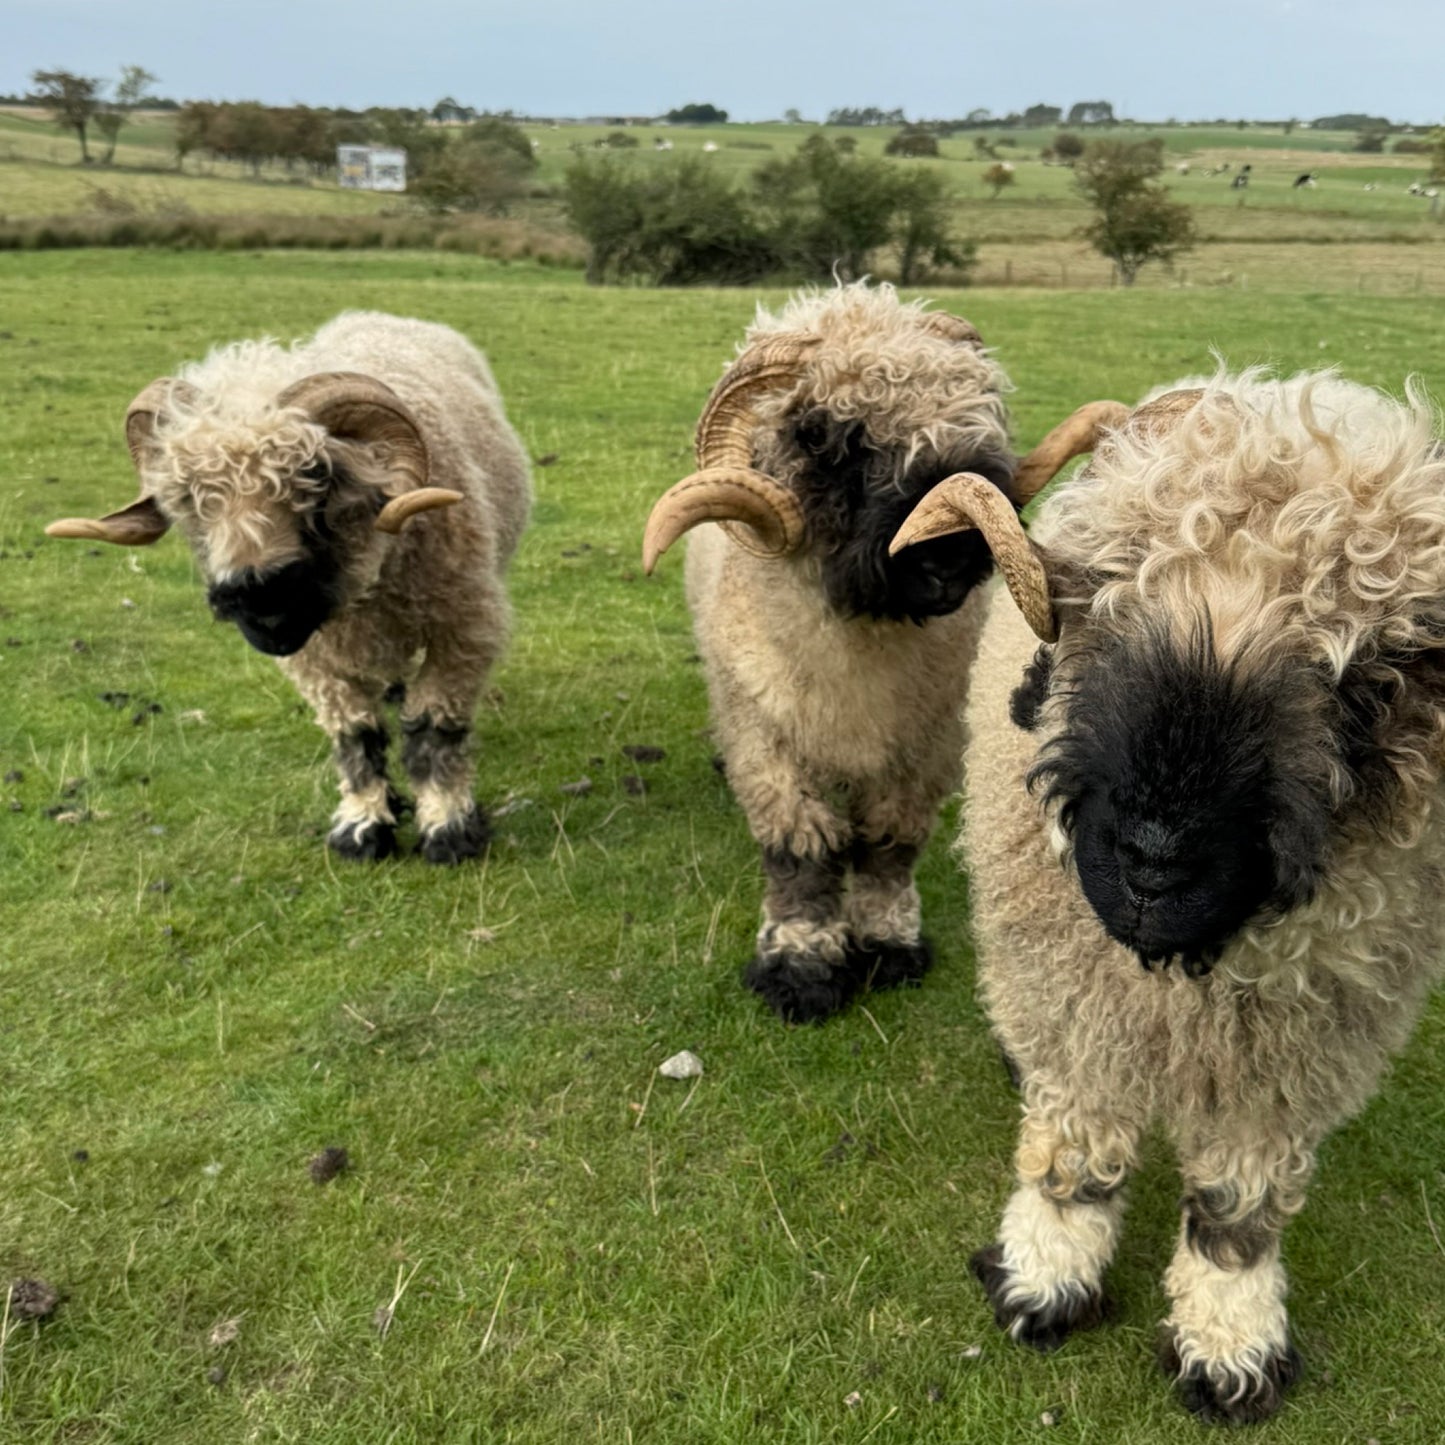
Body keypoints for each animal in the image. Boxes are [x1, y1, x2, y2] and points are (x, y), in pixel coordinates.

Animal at [46, 311, 531, 864]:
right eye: (187, 495)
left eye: (315, 474)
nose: (258, 598)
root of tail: (379, 317)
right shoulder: (313, 657)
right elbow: (354, 733)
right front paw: (362, 827)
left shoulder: (464, 628)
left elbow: (436, 729)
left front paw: (448, 829)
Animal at [641, 281, 1115, 1022]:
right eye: (819, 435)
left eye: (980, 409)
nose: (947, 554)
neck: (859, 649)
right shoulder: (769, 745)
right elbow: (799, 855)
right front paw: (801, 967)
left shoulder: (923, 750)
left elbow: (890, 845)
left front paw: (889, 946)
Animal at [890, 368, 1445, 1422]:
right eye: (1093, 610)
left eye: (1363, 682)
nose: (1151, 861)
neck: (1179, 986)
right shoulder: (1076, 1004)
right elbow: (1071, 1152)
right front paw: (1041, 1280)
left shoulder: (1287, 1064)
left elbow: (1239, 1207)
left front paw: (1229, 1341)